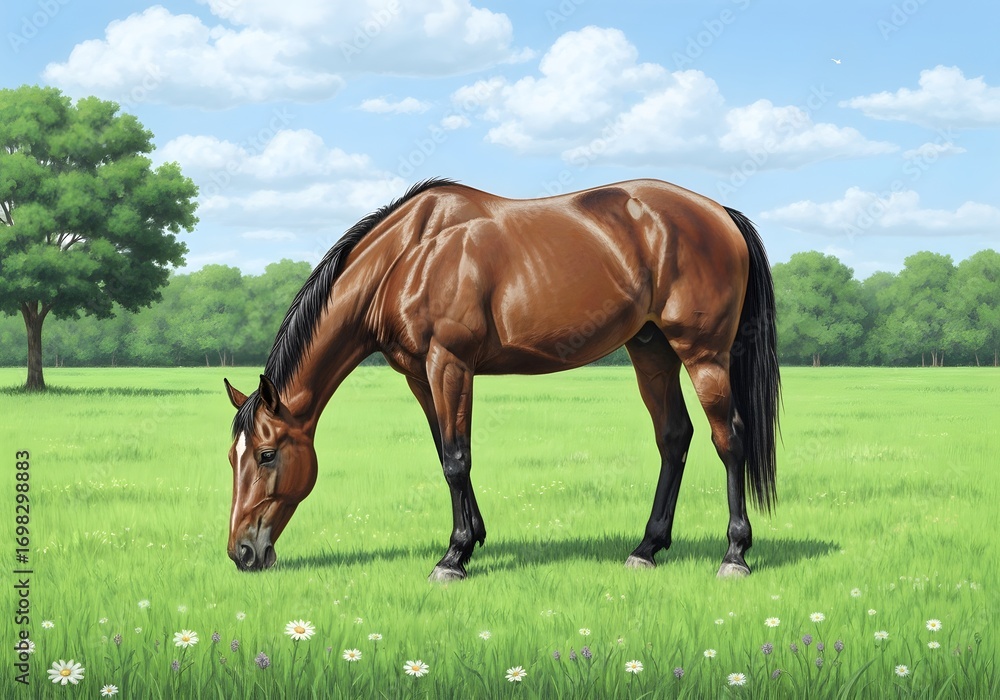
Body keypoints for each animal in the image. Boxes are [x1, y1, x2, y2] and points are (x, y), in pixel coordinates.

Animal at [223, 177, 779, 581]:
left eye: (266, 455)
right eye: (233, 456)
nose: (242, 552)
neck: (409, 256)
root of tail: (719, 212)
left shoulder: (450, 363)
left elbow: (456, 458)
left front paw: (452, 558)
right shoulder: (421, 376)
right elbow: (446, 454)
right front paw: (471, 540)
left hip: (703, 353)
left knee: (729, 438)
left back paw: (734, 555)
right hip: (652, 350)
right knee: (674, 436)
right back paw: (646, 548)